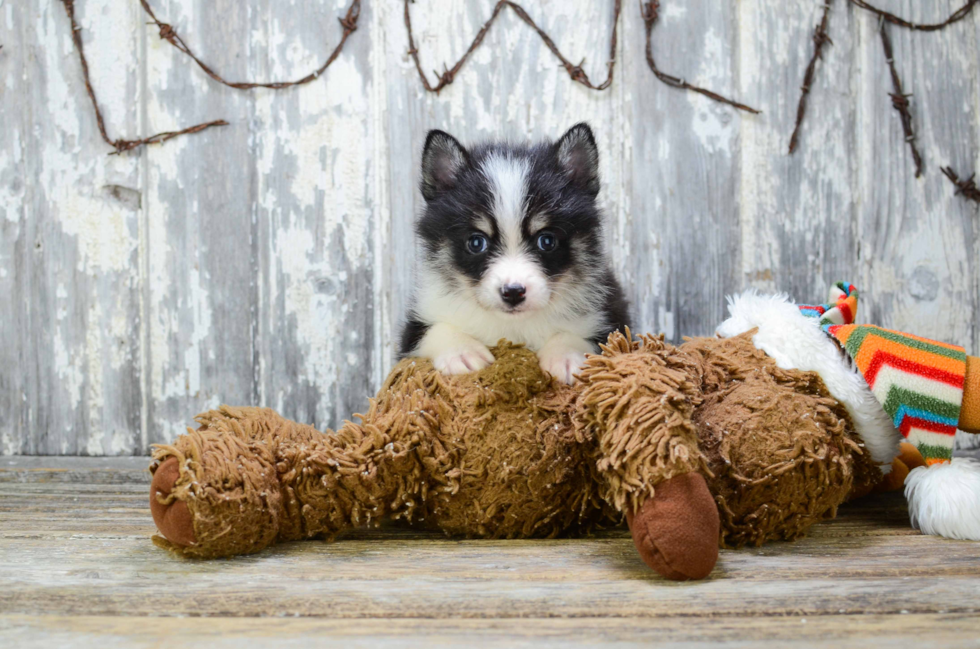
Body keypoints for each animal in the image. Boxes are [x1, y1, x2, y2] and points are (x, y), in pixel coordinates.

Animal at [398, 124, 628, 382]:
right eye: (476, 242)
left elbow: (585, 338)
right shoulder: (416, 325)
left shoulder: (612, 319)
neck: (512, 326)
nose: (513, 292)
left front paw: (566, 356)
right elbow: (432, 331)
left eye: (547, 241)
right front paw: (461, 352)